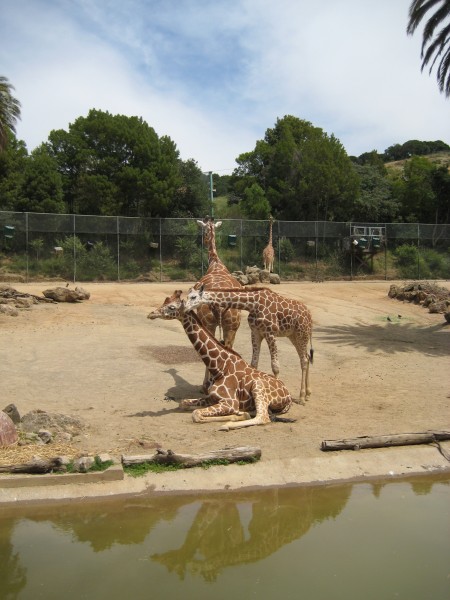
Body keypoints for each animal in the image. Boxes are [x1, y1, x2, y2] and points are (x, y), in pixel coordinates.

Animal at [149, 288, 294, 428]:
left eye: (172, 307)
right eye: (165, 302)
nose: (151, 314)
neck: (218, 367)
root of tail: (288, 395)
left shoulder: (230, 402)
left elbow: (196, 414)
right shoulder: (211, 398)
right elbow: (183, 403)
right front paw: (240, 413)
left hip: (258, 386)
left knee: (263, 417)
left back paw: (227, 425)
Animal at [185, 284, 314, 404]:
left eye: (193, 297)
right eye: (186, 296)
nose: (185, 308)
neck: (253, 303)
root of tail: (309, 316)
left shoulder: (270, 332)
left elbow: (275, 366)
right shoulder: (256, 332)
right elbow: (254, 364)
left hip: (302, 333)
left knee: (304, 360)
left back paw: (302, 397)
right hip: (293, 336)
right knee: (307, 357)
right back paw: (308, 394)